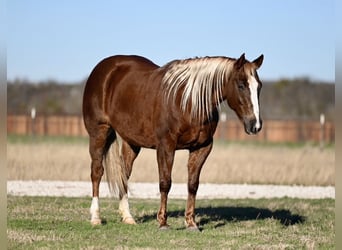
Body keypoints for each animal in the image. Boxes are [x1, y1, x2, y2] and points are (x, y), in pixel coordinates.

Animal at [83, 53, 264, 230]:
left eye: (259, 86)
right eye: (241, 85)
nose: (255, 125)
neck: (189, 103)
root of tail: (104, 68)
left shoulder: (202, 147)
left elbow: (193, 184)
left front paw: (191, 223)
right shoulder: (166, 146)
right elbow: (165, 183)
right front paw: (163, 222)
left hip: (131, 142)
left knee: (123, 174)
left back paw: (127, 217)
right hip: (99, 133)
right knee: (97, 172)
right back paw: (95, 218)